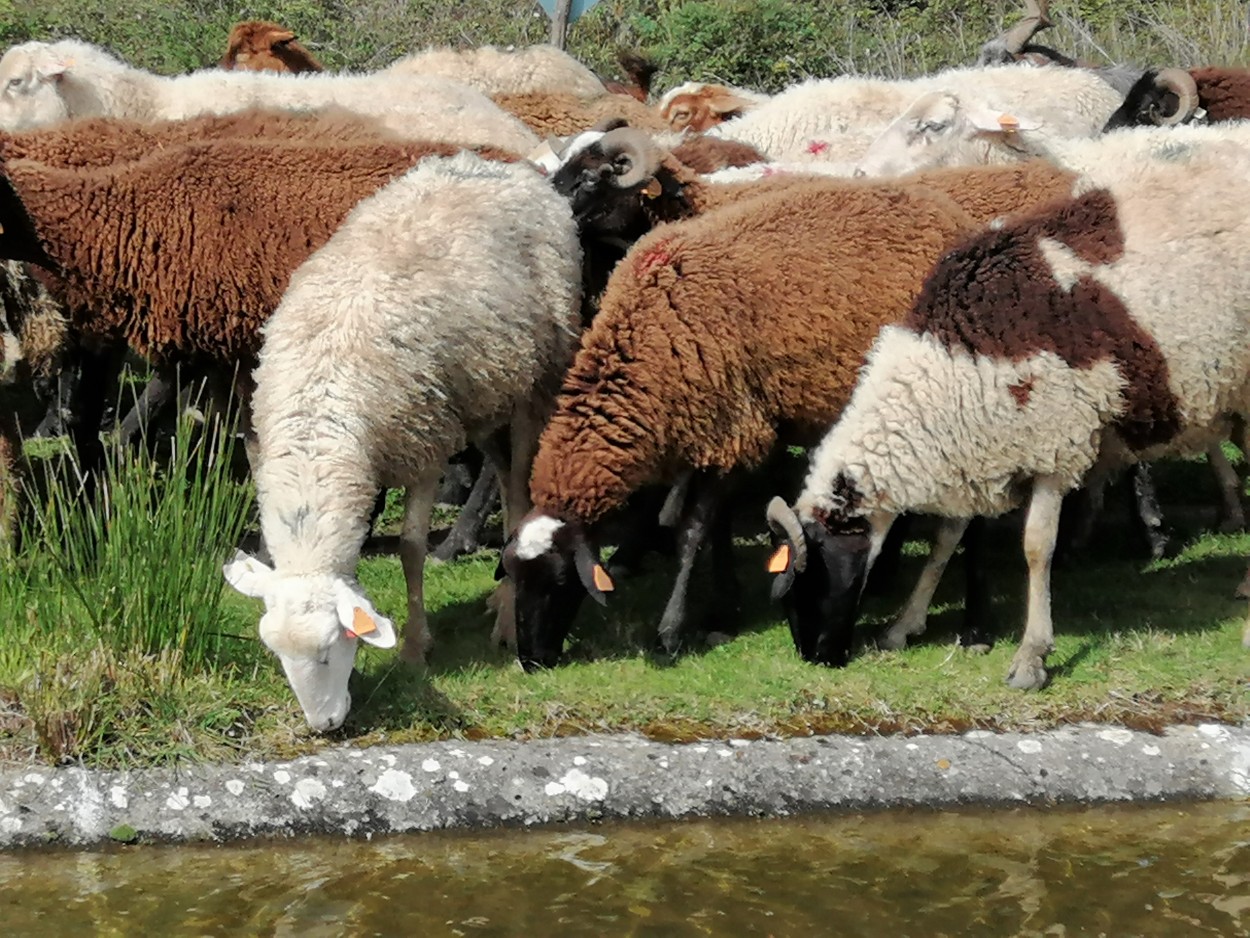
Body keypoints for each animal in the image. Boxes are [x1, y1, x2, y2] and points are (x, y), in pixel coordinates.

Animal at [223, 152, 580, 735]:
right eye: (277, 654)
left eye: (331, 649)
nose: (324, 726)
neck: (322, 426)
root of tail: (493, 165)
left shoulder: (424, 446)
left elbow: (411, 551)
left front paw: (415, 650)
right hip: (483, 394)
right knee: (504, 476)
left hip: (540, 379)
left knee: (521, 486)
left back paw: (507, 616)